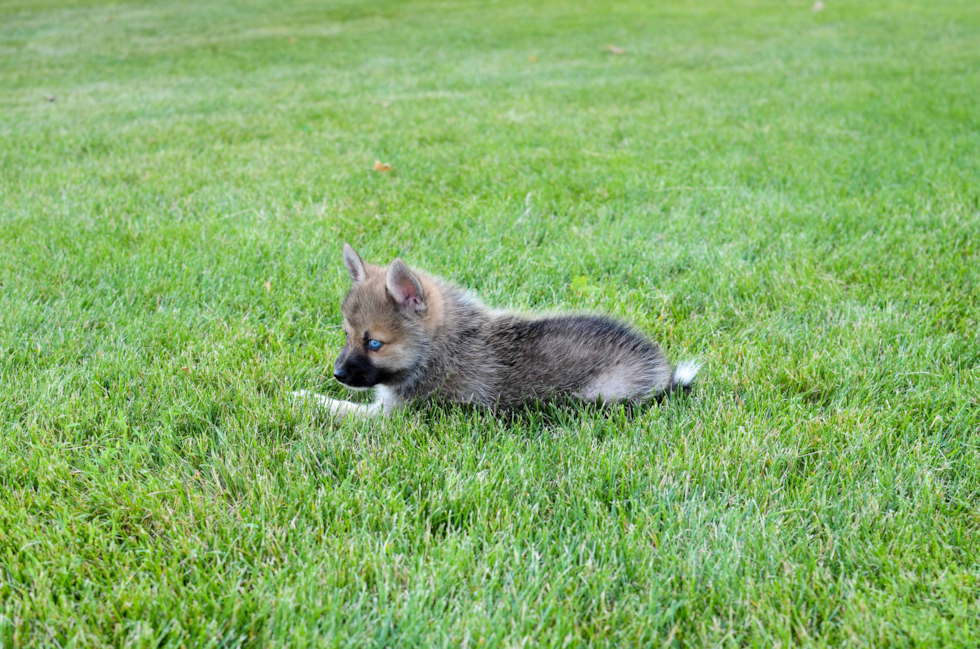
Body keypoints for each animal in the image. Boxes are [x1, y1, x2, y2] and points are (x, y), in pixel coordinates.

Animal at [290, 244, 696, 420]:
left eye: (373, 343)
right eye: (347, 334)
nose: (337, 374)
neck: (436, 349)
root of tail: (662, 373)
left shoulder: (395, 418)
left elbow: (342, 410)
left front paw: (303, 398)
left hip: (600, 395)